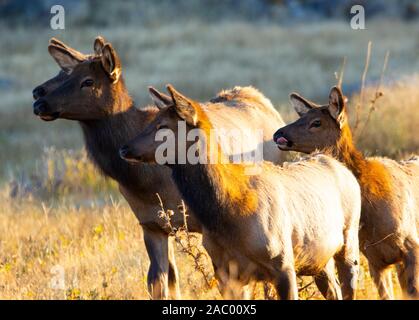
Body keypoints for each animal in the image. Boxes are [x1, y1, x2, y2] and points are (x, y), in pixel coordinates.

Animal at [32, 38, 288, 300]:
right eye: (66, 75)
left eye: (88, 81)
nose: (39, 101)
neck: (144, 182)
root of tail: (264, 102)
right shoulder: (151, 224)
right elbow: (161, 282)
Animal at [120, 85, 362, 300]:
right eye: (151, 119)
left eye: (162, 126)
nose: (124, 148)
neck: (231, 212)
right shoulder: (226, 272)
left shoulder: (283, 263)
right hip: (320, 259)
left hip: (350, 241)